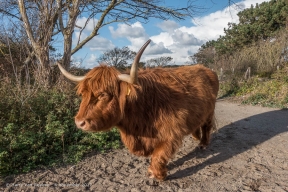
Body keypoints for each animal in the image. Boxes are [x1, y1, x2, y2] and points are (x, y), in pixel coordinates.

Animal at [57, 39, 218, 181]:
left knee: (207, 126)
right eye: (83, 94)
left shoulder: (172, 132)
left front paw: (157, 175)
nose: (79, 122)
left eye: (103, 94)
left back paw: (203, 144)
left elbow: (159, 155)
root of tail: (206, 69)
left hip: (210, 111)